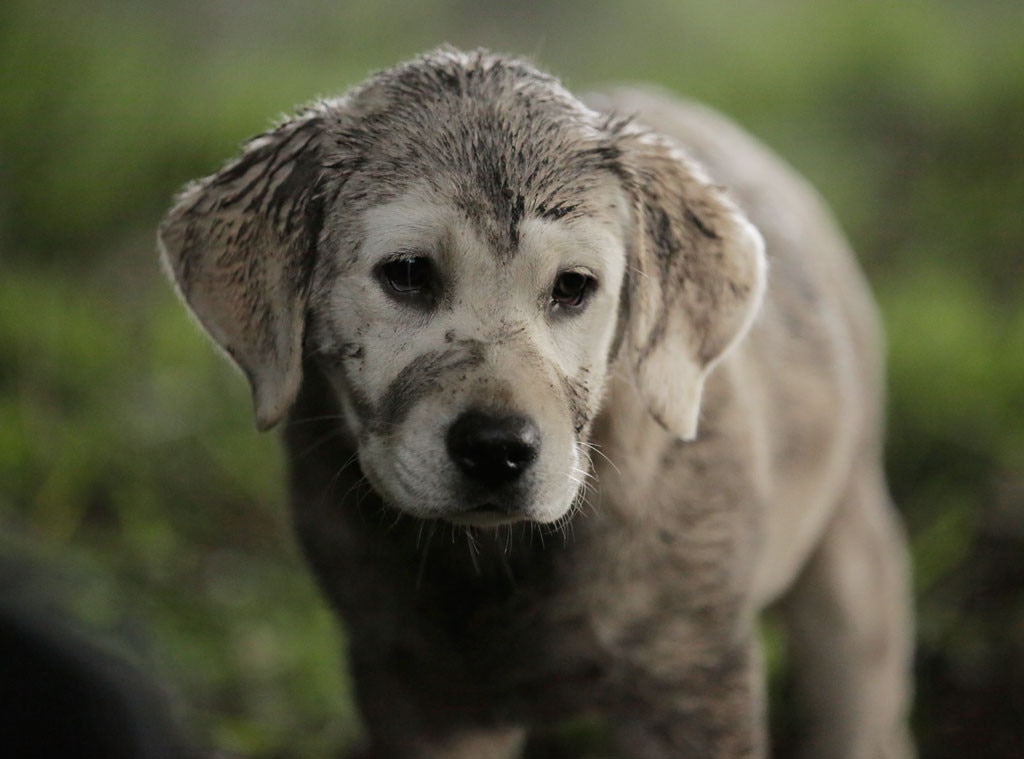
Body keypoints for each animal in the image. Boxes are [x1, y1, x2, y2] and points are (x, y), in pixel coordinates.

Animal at [157, 47, 913, 757]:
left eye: (574, 286)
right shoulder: (415, 691)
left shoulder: (692, 681)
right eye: (407, 273)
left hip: (851, 562)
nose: (497, 449)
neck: (501, 560)